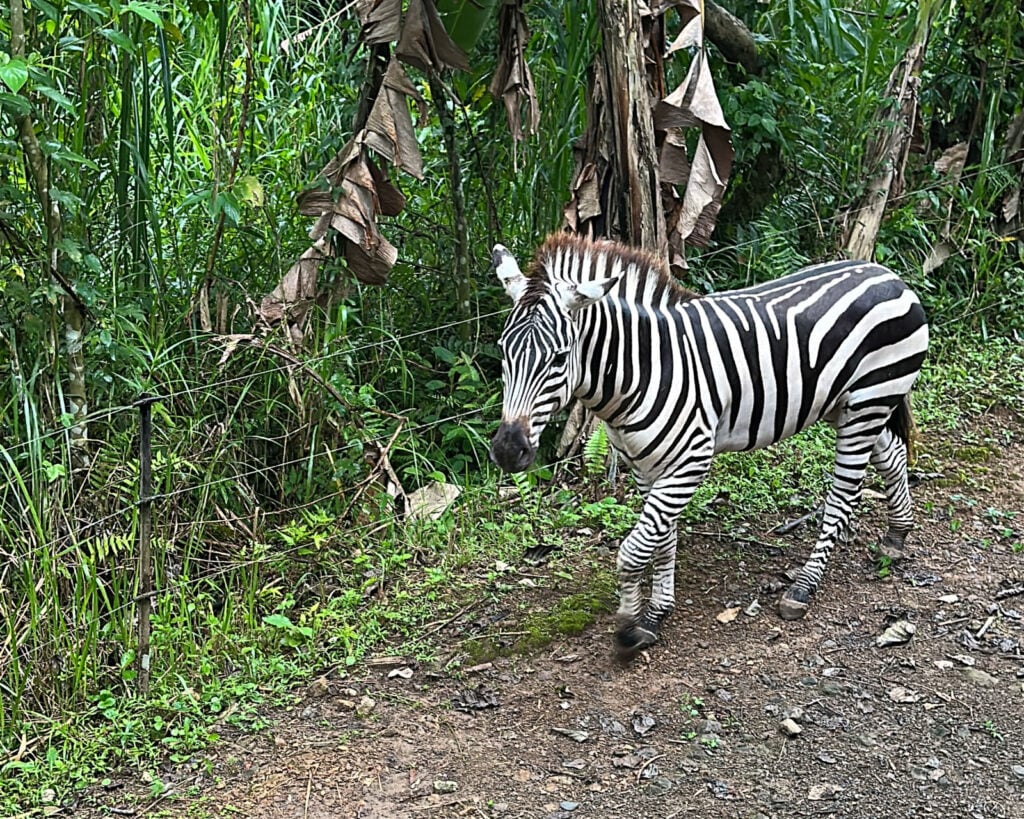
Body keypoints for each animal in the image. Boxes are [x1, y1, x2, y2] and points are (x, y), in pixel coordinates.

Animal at [488, 233, 929, 658]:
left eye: (559, 359)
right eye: (503, 353)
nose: (508, 450)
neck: (643, 367)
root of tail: (887, 274)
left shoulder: (690, 460)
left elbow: (633, 551)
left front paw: (629, 629)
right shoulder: (645, 465)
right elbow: (660, 540)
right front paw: (655, 614)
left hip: (869, 401)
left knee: (843, 494)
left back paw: (803, 587)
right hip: (850, 404)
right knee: (892, 454)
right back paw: (896, 536)